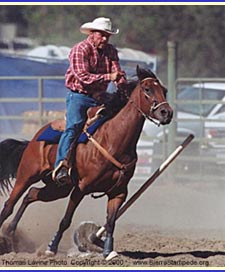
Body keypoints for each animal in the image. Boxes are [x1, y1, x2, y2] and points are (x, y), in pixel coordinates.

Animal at [0, 66, 173, 258]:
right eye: (147, 89)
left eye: (164, 90)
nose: (167, 113)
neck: (114, 140)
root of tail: (35, 137)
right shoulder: (81, 189)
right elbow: (65, 220)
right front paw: (51, 248)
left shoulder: (119, 192)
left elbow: (111, 222)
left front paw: (108, 252)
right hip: (27, 174)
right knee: (9, 204)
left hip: (58, 188)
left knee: (31, 194)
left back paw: (10, 232)